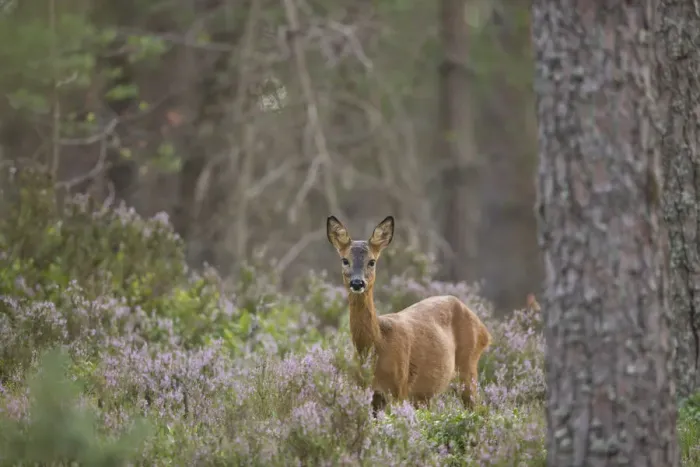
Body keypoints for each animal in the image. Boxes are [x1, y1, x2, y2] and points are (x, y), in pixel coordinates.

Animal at [326, 215, 492, 415]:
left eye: (372, 261)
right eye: (345, 260)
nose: (357, 283)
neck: (376, 344)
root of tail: (485, 332)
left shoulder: (399, 389)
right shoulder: (365, 392)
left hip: (468, 368)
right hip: (426, 396)